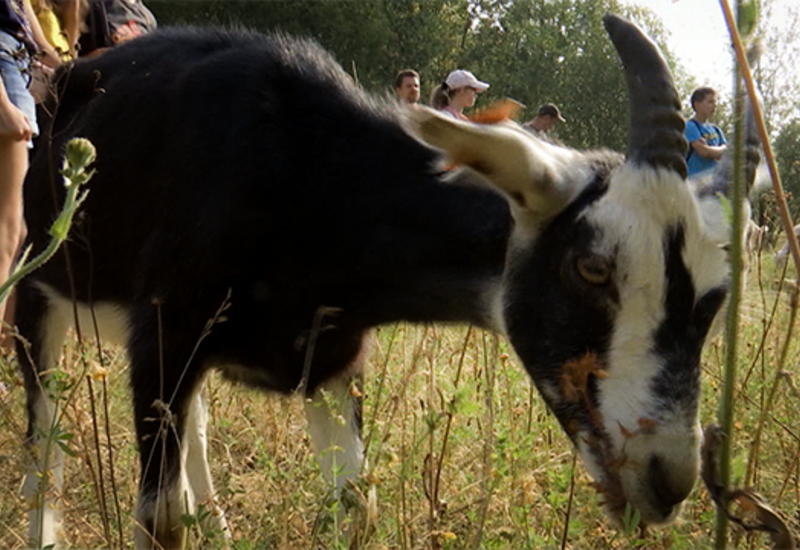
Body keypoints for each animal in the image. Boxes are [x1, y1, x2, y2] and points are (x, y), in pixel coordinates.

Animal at [17, 12, 756, 550]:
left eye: (714, 298)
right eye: (592, 266)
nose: (668, 478)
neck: (312, 175)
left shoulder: (330, 356)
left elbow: (356, 506)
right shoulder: (168, 331)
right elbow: (160, 522)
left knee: (192, 426)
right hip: (37, 284)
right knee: (42, 430)